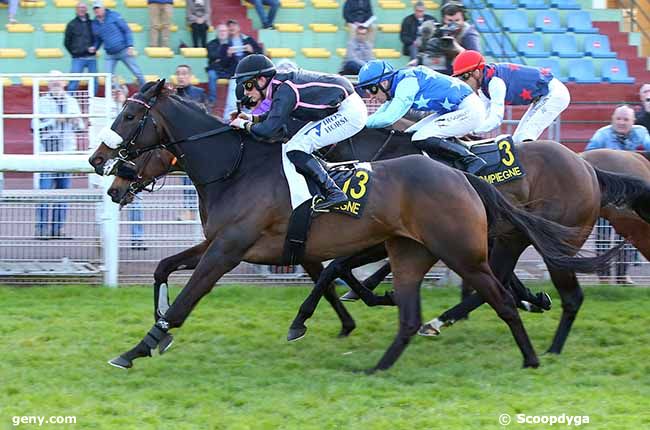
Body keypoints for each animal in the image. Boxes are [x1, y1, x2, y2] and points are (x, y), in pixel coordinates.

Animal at [87, 81, 612, 372]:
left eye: (130, 115)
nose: (100, 165)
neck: (236, 168)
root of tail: (586, 166)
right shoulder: (225, 243)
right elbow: (163, 268)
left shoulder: (229, 250)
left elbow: (190, 299)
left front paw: (140, 346)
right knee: (498, 283)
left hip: (500, 241)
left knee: (531, 289)